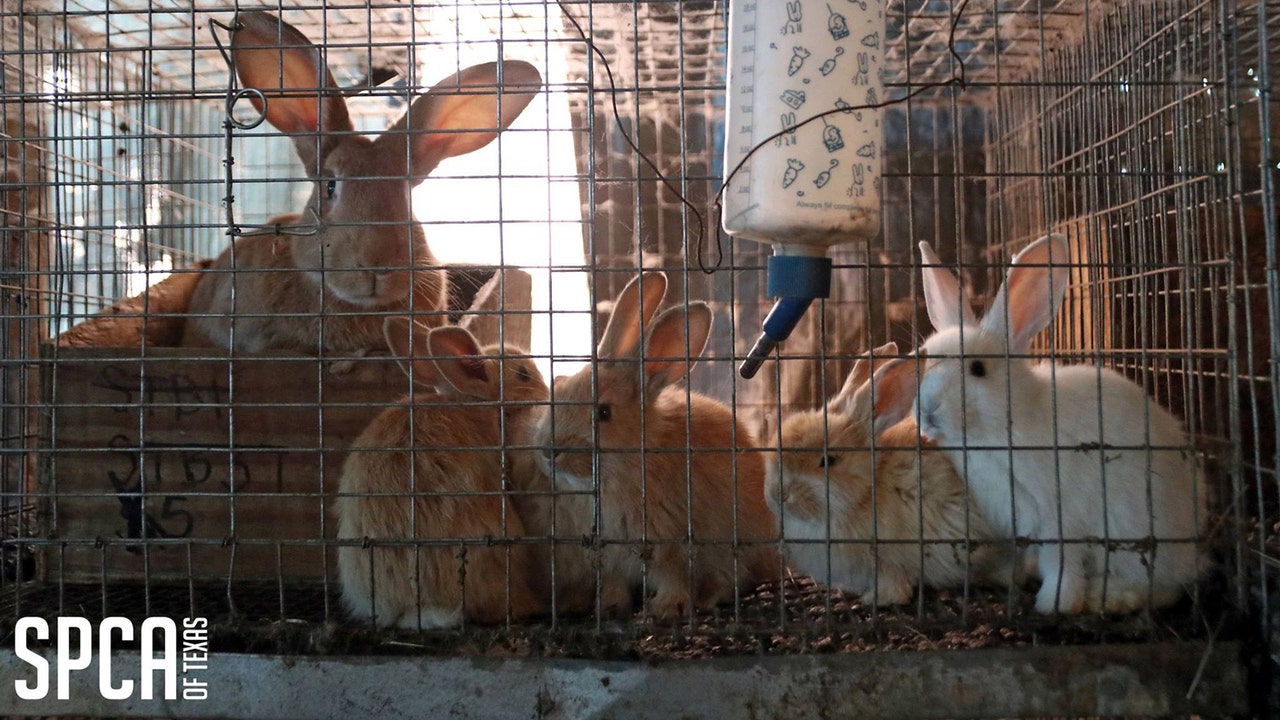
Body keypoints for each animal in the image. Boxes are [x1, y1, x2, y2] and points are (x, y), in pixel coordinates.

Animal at [531, 272, 781, 619]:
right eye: (559, 388)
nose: (548, 451)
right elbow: (614, 583)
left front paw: (666, 608)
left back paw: (706, 599)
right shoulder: (610, 558)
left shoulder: (672, 546)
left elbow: (675, 578)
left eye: (604, 413)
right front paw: (609, 607)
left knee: (731, 579)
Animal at [764, 343, 1024, 606]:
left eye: (828, 461)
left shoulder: (890, 561)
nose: (778, 494)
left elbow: (895, 587)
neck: (868, 490)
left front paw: (871, 600)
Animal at [908, 234, 1207, 614]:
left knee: (1163, 585)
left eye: (978, 369)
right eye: (924, 359)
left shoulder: (1057, 518)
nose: (927, 409)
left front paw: (1054, 603)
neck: (1005, 425)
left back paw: (1112, 596)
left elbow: (1062, 564)